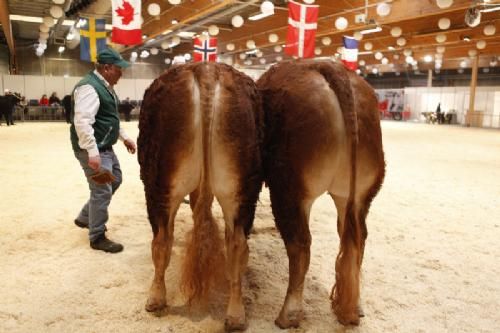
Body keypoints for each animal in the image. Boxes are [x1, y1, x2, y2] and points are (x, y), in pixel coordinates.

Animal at [137, 62, 262, 330]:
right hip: (241, 187)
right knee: (237, 244)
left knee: (162, 240)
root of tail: (207, 70)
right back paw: (235, 315)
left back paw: (156, 298)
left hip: (159, 183)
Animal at [258, 60, 386, 326]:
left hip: (290, 189)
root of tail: (329, 66)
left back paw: (288, 314)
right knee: (355, 239)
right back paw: (354, 306)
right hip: (357, 196)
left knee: (300, 244)